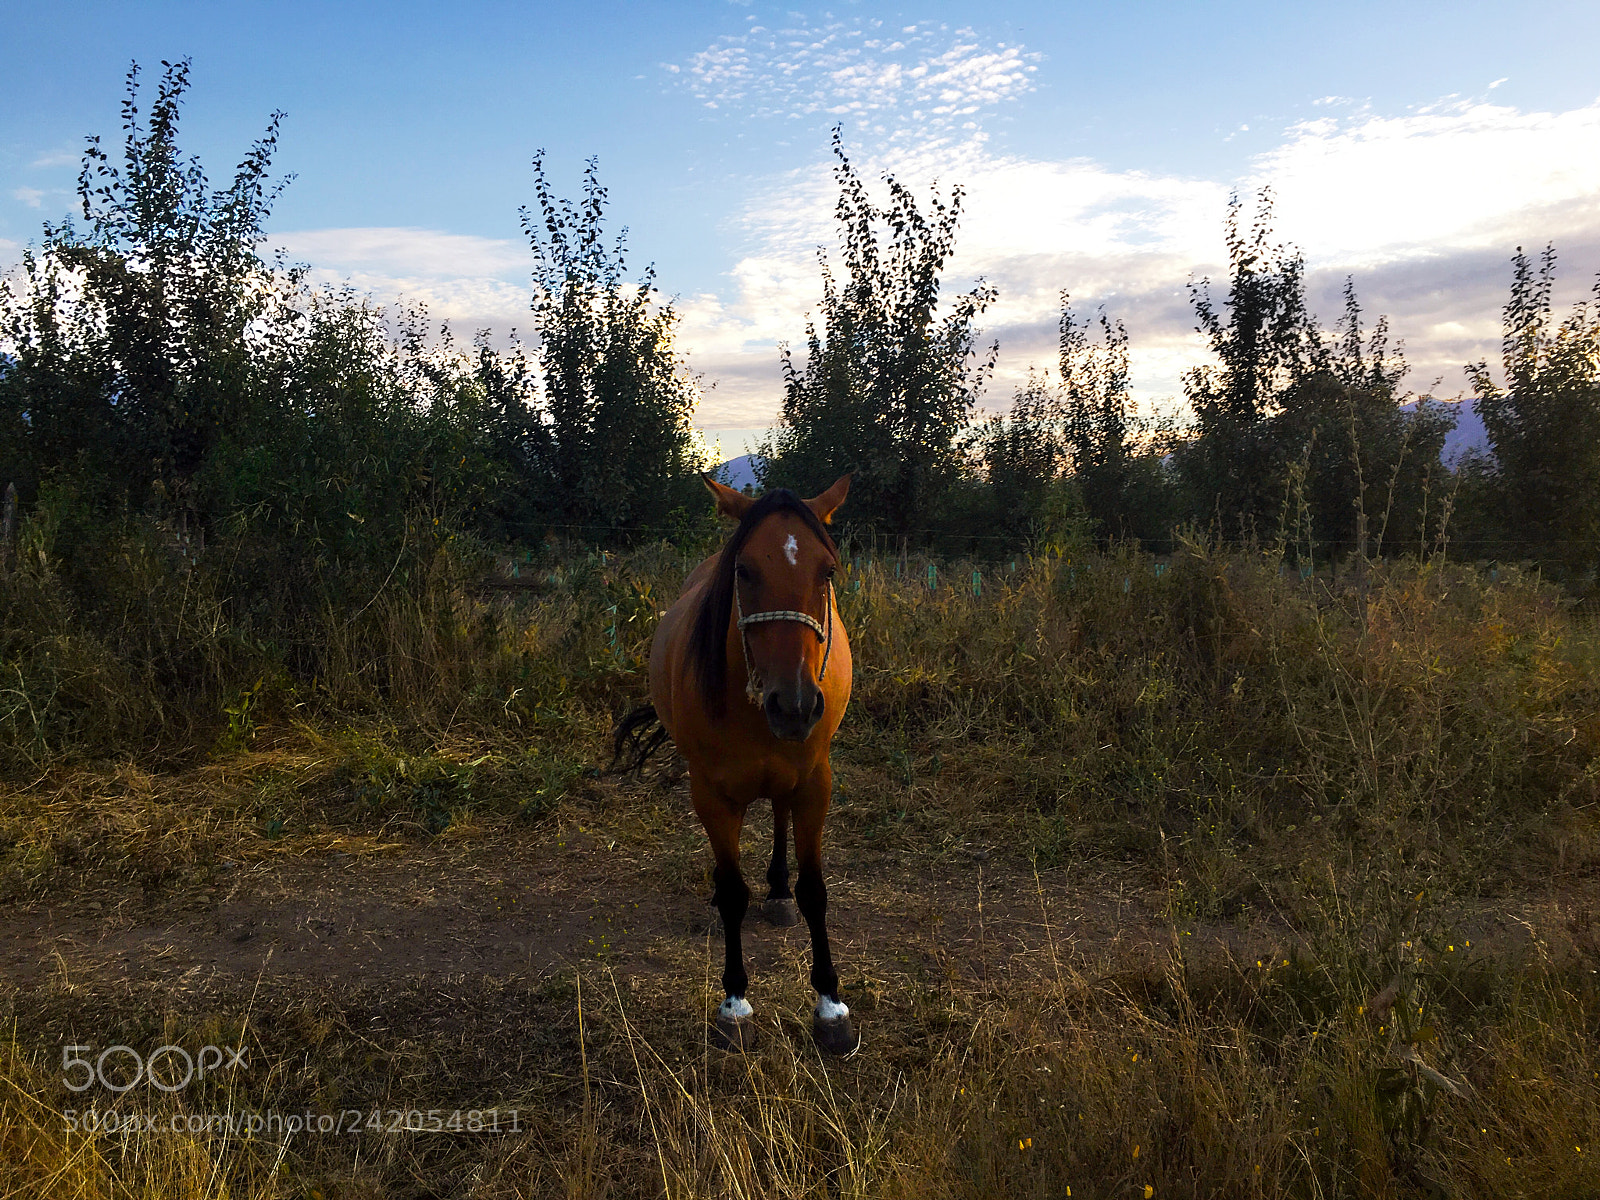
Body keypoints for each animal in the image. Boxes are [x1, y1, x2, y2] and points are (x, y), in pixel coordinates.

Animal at [613, 473, 857, 1054]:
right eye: (743, 570)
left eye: (828, 570)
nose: (795, 705)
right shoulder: (712, 793)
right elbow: (730, 893)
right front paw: (734, 1003)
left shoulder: (815, 781)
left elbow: (815, 891)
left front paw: (830, 1005)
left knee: (778, 816)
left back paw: (778, 891)